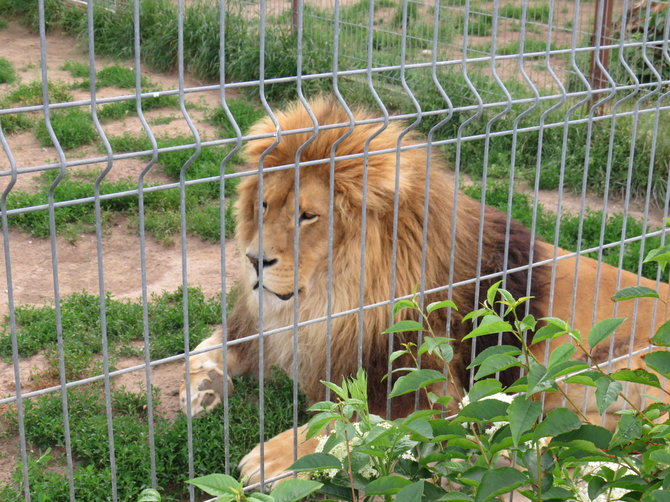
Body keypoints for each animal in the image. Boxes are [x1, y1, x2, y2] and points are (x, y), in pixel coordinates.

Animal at [181, 96, 668, 484]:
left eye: (307, 216)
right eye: (263, 205)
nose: (253, 259)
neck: (332, 296)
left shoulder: (427, 386)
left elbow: (348, 420)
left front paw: (273, 458)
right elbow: (215, 344)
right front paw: (202, 382)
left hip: (619, 364)